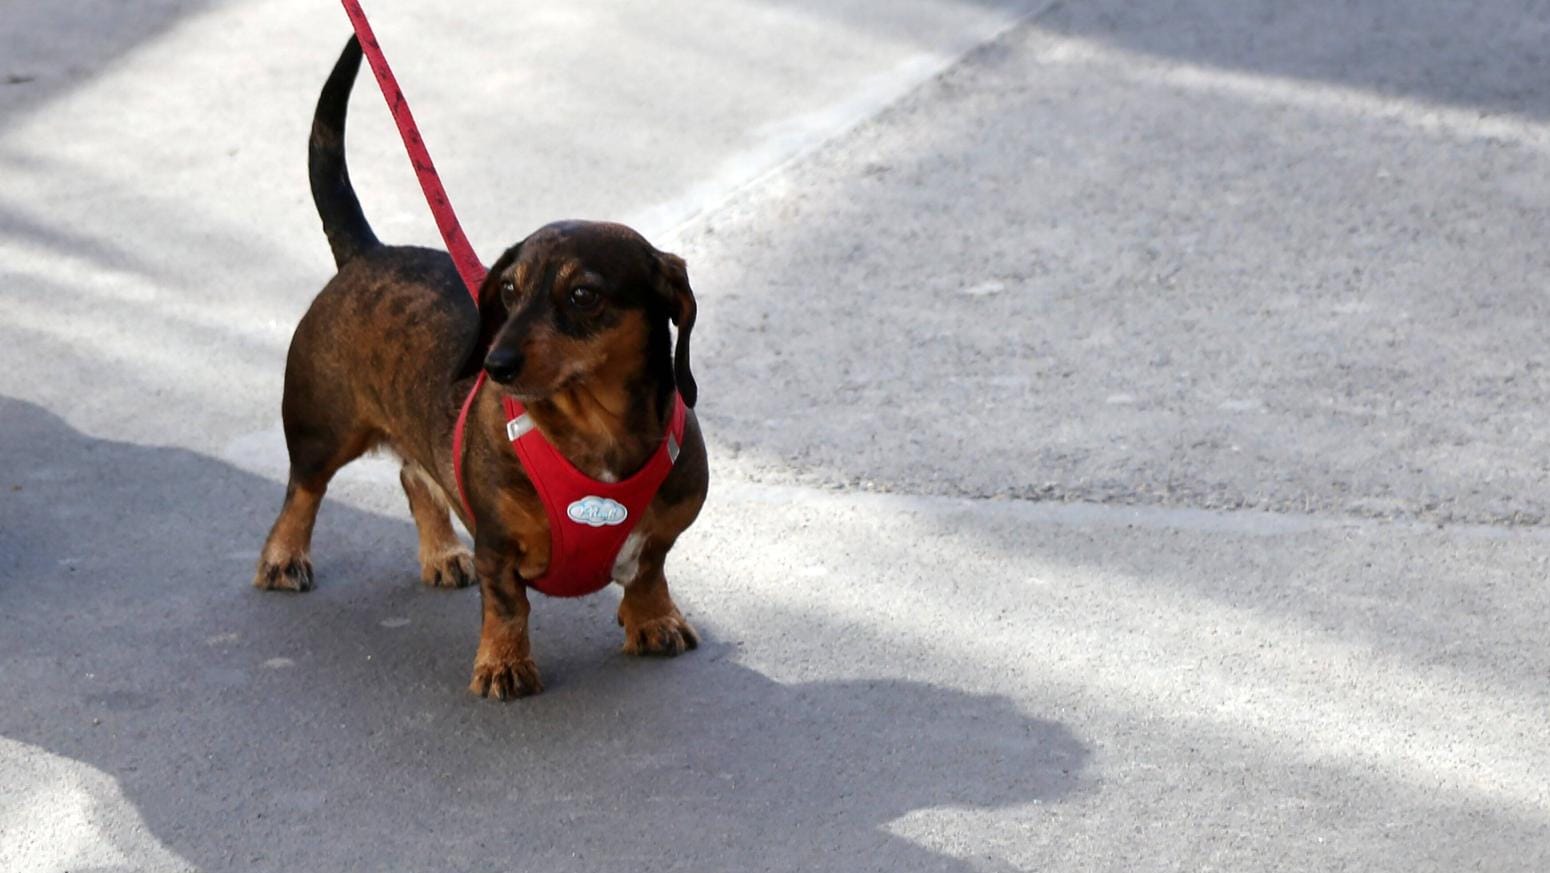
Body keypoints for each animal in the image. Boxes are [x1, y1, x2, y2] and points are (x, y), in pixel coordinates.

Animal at [254, 37, 709, 700]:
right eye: (510, 290)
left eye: (583, 295)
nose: (495, 364)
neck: (596, 431)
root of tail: (367, 252)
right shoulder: (498, 543)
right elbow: (509, 605)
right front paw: (504, 665)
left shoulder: (665, 530)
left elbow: (649, 569)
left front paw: (653, 620)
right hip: (322, 428)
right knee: (303, 490)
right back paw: (284, 556)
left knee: (415, 475)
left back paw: (442, 553)